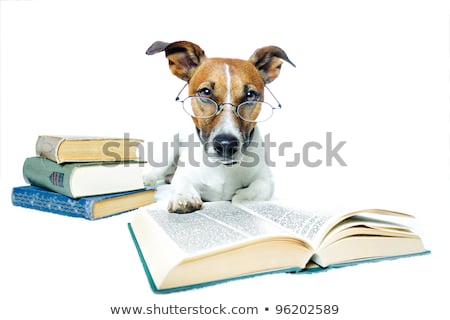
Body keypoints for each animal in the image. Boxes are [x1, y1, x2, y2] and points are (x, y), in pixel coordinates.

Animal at [144, 41, 296, 214]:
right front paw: (184, 197)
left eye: (250, 95)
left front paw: (239, 198)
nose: (226, 145)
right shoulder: (183, 175)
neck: (223, 168)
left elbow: (251, 192)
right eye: (205, 92)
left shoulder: (266, 180)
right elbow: (182, 181)